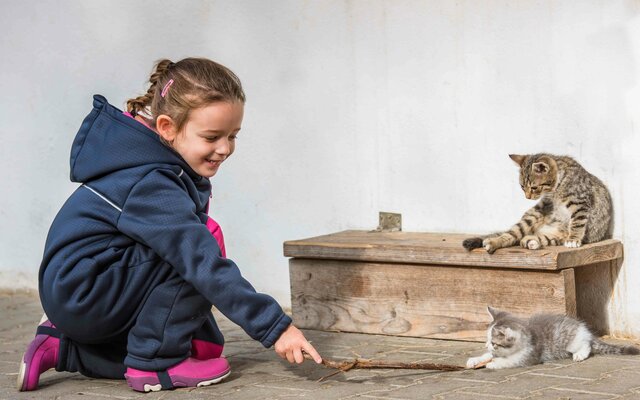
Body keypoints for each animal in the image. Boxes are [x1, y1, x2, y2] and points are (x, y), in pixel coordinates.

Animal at [462, 154, 612, 253]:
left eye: (534, 187)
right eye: (522, 187)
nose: (527, 197)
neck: (558, 186)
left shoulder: (580, 202)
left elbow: (577, 223)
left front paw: (573, 239)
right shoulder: (546, 204)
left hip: (555, 234)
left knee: (531, 239)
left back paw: (532, 241)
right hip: (534, 214)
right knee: (512, 234)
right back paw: (494, 242)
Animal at [464, 306, 640, 368]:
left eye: (493, 342)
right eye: (487, 340)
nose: (486, 345)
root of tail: (583, 329)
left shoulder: (529, 357)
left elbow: (509, 361)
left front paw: (493, 363)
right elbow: (488, 356)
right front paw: (477, 359)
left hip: (571, 340)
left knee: (586, 344)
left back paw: (580, 354)